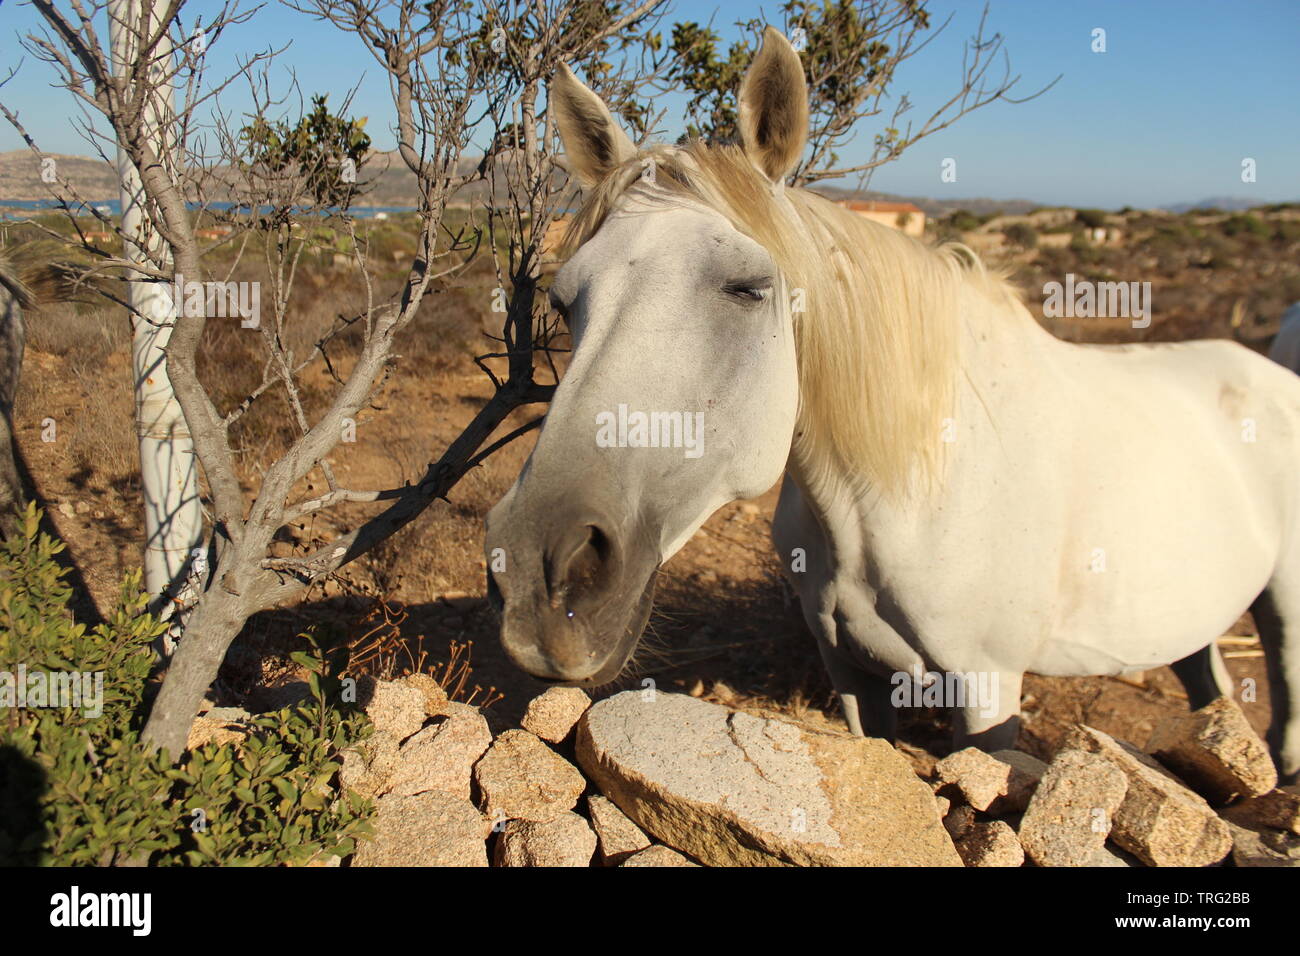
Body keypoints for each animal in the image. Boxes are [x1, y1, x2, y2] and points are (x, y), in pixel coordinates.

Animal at [484, 27, 1300, 782]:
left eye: (750, 287)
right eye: (564, 300)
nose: (541, 572)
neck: (907, 487)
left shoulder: (989, 689)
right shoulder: (852, 673)